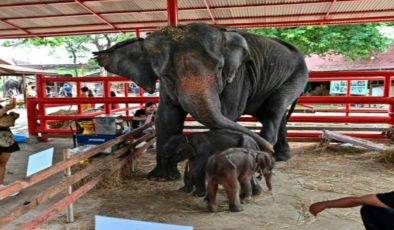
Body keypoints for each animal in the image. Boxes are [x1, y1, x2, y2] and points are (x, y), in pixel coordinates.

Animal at [94, 22, 308, 180]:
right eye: (166, 75)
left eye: (219, 69)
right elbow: (166, 117)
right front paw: (162, 178)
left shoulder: (238, 76)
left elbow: (227, 113)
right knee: (274, 115)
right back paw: (278, 156)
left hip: (296, 76)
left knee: (274, 110)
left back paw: (268, 156)